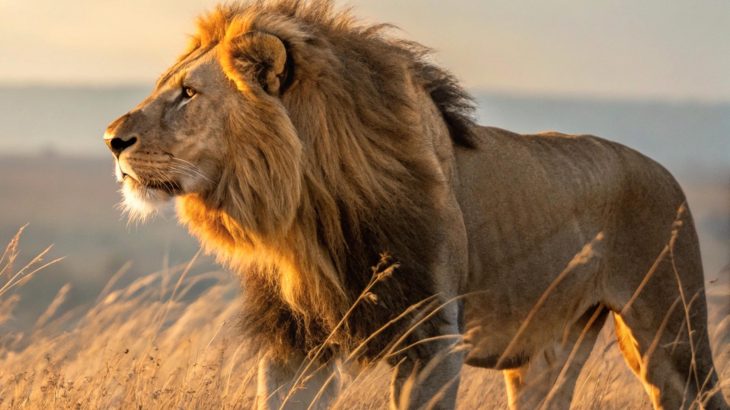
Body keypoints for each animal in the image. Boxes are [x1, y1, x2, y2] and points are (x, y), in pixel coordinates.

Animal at [103, 1, 728, 409]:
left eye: (188, 94)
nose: (111, 139)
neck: (309, 213)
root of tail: (663, 169)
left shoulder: (432, 341)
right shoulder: (295, 344)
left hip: (672, 335)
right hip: (547, 352)